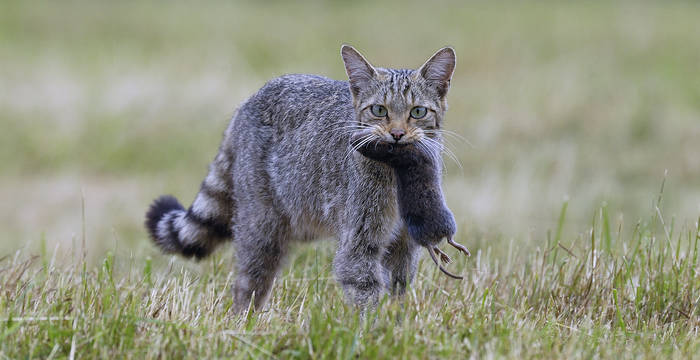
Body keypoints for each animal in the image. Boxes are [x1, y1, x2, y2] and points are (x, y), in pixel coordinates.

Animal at [145, 44, 456, 310]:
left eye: (418, 112)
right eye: (379, 110)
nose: (397, 134)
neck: (397, 172)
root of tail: (246, 104)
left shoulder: (404, 245)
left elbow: (398, 291)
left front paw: (395, 324)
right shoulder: (359, 241)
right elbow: (364, 288)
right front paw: (371, 331)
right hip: (262, 227)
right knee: (248, 285)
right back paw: (245, 322)